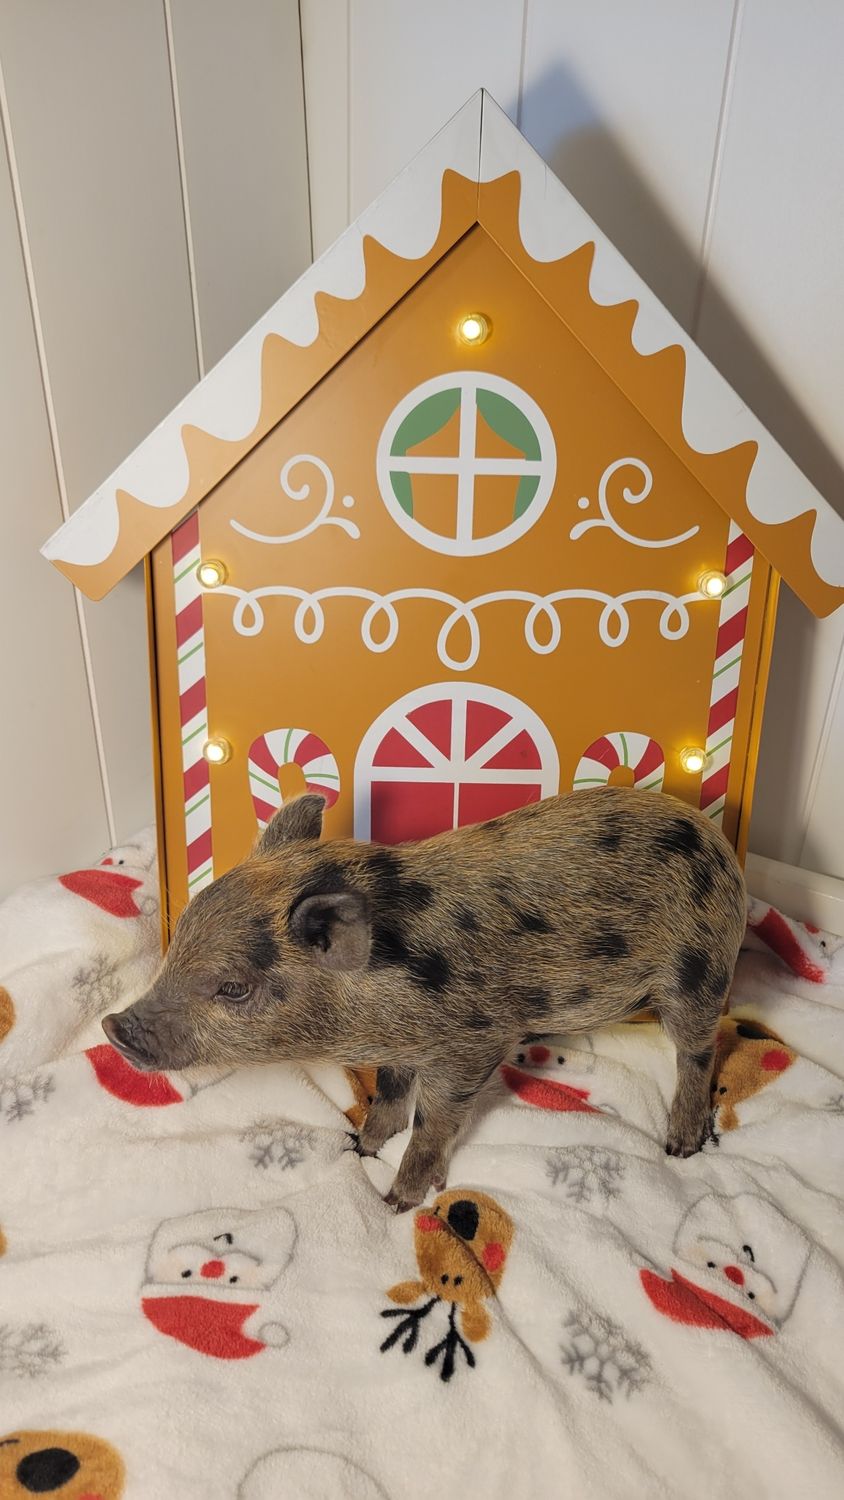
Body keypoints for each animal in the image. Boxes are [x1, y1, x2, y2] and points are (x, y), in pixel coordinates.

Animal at [102, 786, 746, 1211]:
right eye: (180, 937)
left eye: (233, 988)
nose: (114, 1028)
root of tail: (721, 845)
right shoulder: (399, 1046)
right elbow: (390, 1090)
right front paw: (361, 1144)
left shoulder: (473, 1043)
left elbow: (433, 1120)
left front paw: (396, 1201)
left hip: (698, 971)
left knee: (699, 1050)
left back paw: (680, 1147)